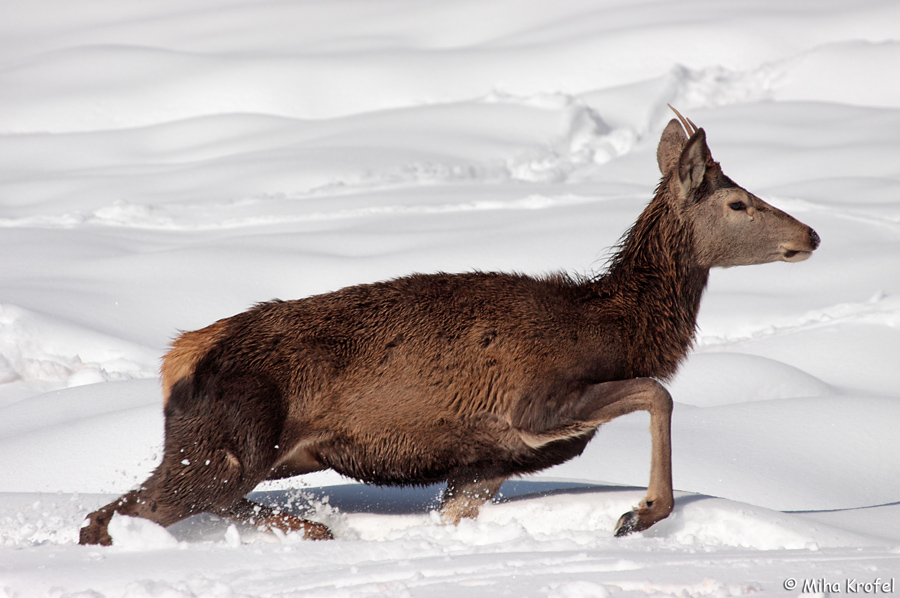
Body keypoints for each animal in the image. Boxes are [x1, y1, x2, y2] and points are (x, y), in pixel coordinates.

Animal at [81, 105, 820, 548]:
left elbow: (455, 514)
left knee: (136, 508)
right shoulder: (535, 404)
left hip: (221, 451)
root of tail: (179, 358)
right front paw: (638, 513)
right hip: (225, 445)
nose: (810, 235)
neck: (616, 329)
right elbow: (657, 393)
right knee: (126, 510)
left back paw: (308, 529)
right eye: (738, 201)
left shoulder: (485, 462)